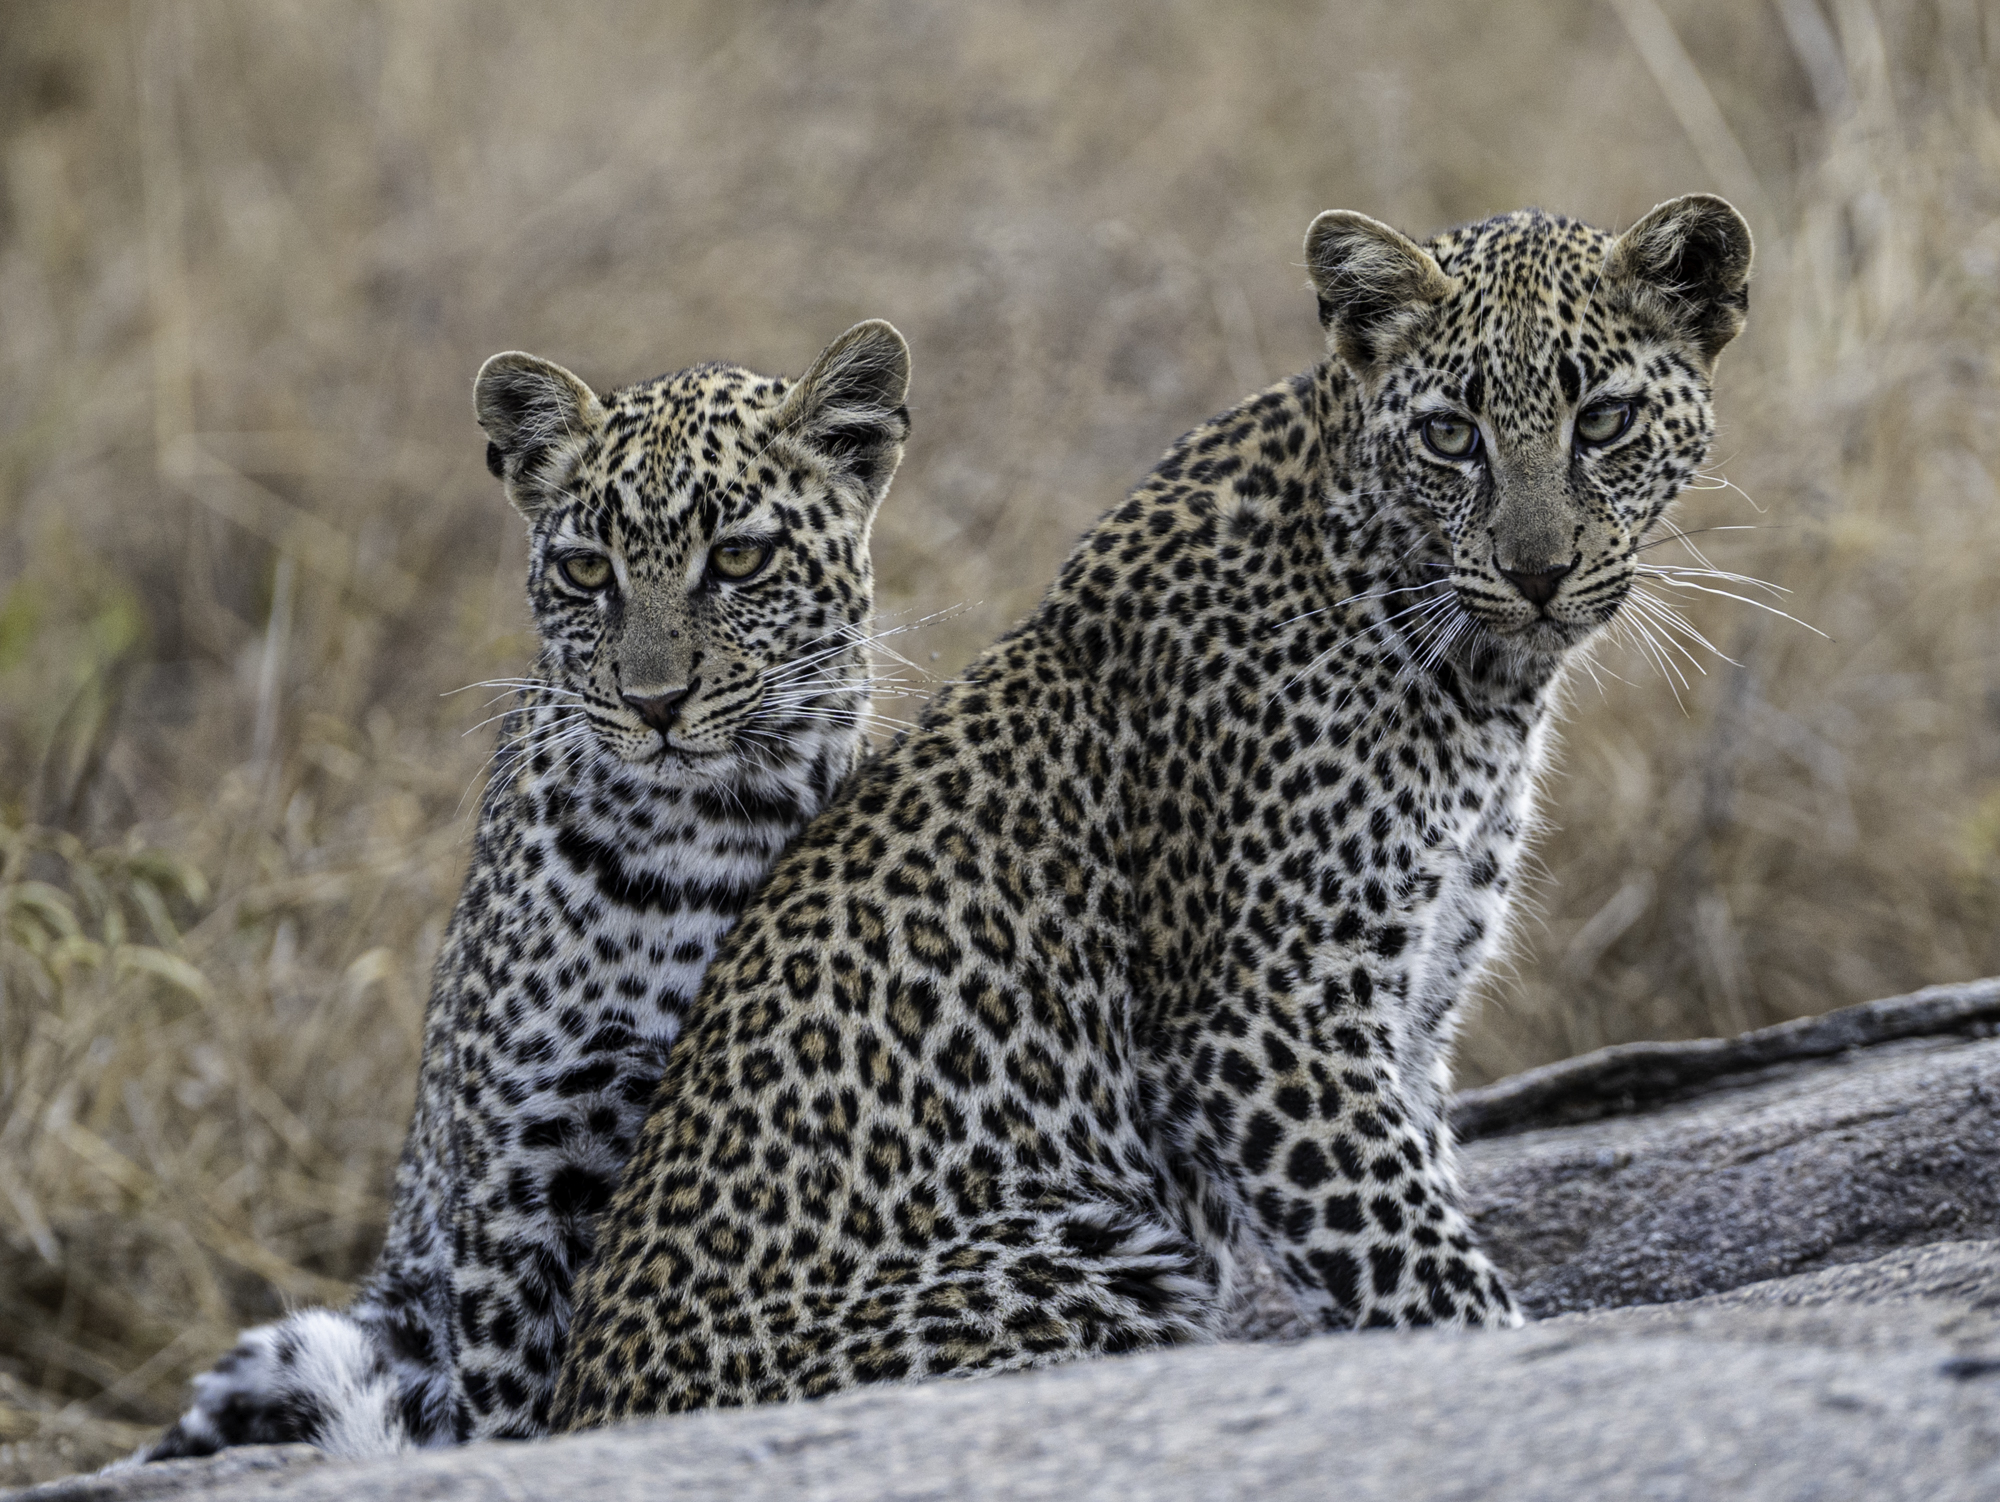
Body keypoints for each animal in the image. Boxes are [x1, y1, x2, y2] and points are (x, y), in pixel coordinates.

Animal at [143, 318, 913, 1458]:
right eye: (587, 570)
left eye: (738, 557)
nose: (654, 704)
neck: (704, 836)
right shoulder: (528, 1158)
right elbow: (513, 1395)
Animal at [550, 194, 1755, 1430]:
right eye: (1450, 435)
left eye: (1602, 420)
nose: (1535, 574)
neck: (1478, 677)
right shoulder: (1267, 1017)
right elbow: (1411, 1257)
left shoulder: (1413, 1007)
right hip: (1092, 1257)